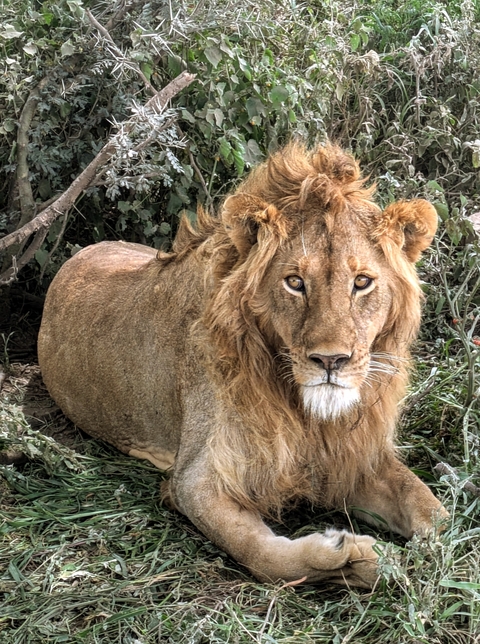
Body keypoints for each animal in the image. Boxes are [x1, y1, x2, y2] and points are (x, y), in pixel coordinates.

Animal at [38, 142, 447, 588]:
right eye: (295, 283)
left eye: (361, 282)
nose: (330, 360)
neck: (305, 413)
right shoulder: (196, 480)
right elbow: (262, 554)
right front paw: (352, 557)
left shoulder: (350, 458)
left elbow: (431, 508)